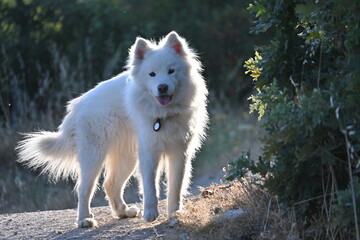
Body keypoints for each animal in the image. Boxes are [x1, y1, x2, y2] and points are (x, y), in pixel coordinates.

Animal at [16, 31, 208, 227]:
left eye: (171, 71)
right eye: (152, 74)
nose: (162, 87)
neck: (163, 114)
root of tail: (78, 105)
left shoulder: (179, 152)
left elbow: (175, 188)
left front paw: (175, 214)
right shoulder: (149, 152)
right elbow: (149, 186)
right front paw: (151, 213)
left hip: (126, 158)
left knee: (110, 184)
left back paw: (123, 212)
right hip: (94, 158)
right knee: (84, 189)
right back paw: (84, 219)